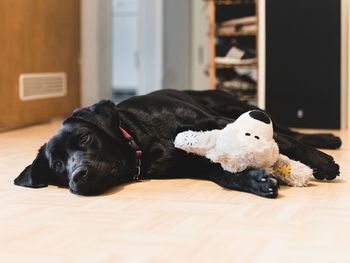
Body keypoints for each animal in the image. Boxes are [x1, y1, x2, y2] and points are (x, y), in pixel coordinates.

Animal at [14, 89, 342, 199]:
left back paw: (329, 139)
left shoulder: (214, 121)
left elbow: (285, 140)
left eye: (84, 138)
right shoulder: (193, 164)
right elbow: (223, 175)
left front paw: (323, 162)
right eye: (58, 164)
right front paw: (255, 182)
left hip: (231, 107)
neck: (140, 136)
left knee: (287, 129)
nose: (76, 177)